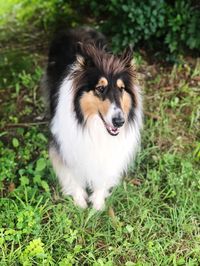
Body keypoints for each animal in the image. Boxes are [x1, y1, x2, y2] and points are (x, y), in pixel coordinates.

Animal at [42, 27, 142, 210]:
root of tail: (77, 28)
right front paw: (80, 203)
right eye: (100, 88)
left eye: (121, 89)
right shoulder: (64, 146)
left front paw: (97, 206)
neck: (93, 125)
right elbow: (71, 175)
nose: (119, 122)